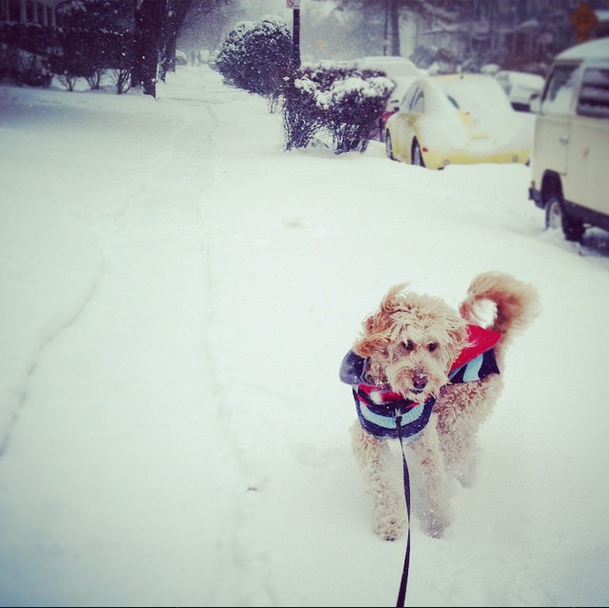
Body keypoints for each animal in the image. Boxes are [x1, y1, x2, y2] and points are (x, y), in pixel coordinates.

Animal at [340, 274, 540, 540]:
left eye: (433, 346)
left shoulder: (423, 436)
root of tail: (493, 338)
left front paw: (436, 524)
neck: (395, 402)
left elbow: (432, 479)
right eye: (406, 344)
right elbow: (380, 480)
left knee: (458, 456)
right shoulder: (368, 435)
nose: (421, 381)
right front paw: (390, 522)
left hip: (455, 416)